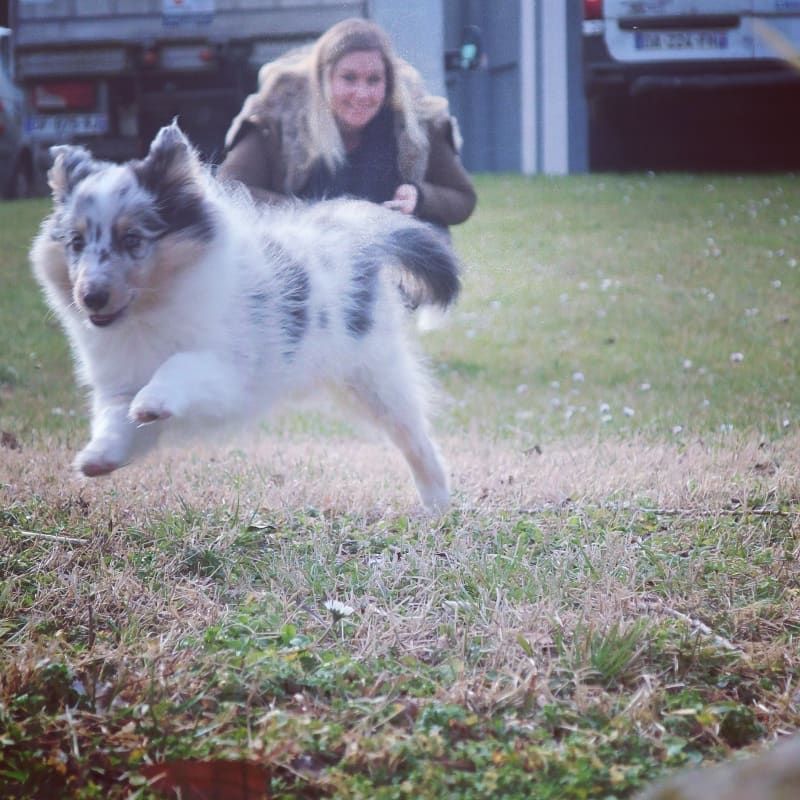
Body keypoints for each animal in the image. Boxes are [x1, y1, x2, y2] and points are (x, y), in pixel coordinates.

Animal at [31, 125, 460, 512]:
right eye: (76, 243)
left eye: (132, 239)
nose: (90, 297)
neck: (148, 313)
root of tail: (354, 233)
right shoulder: (119, 381)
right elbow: (116, 417)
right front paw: (97, 456)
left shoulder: (231, 374)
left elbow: (180, 365)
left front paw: (153, 399)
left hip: (374, 376)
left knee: (415, 436)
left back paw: (437, 503)